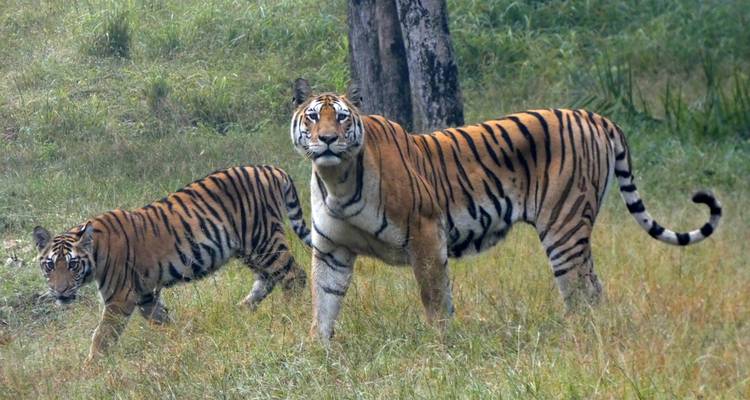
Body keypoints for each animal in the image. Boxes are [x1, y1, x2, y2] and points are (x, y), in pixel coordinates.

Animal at [32, 165, 311, 362]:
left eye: (73, 265)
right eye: (50, 266)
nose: (59, 291)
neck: (97, 251)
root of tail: (272, 169)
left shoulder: (119, 299)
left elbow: (101, 336)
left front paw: (91, 367)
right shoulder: (145, 295)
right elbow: (162, 319)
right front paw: (182, 337)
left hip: (263, 240)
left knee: (294, 276)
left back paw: (290, 313)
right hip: (249, 250)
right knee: (268, 278)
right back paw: (241, 309)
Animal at [289, 78, 722, 343]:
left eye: (341, 117)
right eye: (312, 116)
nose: (327, 140)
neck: (337, 179)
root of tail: (595, 116)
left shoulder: (425, 234)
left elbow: (434, 298)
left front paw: (440, 345)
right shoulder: (331, 250)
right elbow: (323, 302)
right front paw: (317, 350)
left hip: (564, 227)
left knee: (581, 290)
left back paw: (577, 339)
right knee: (594, 287)